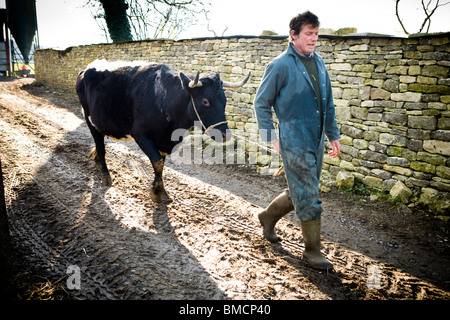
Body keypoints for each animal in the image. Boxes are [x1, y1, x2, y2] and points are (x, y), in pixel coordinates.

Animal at [74, 60, 250, 202]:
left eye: (225, 100)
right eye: (205, 101)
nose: (225, 135)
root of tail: (85, 70)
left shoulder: (164, 141)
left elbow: (161, 163)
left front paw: (162, 191)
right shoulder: (140, 134)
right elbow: (157, 162)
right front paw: (156, 191)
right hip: (89, 118)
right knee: (100, 146)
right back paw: (105, 174)